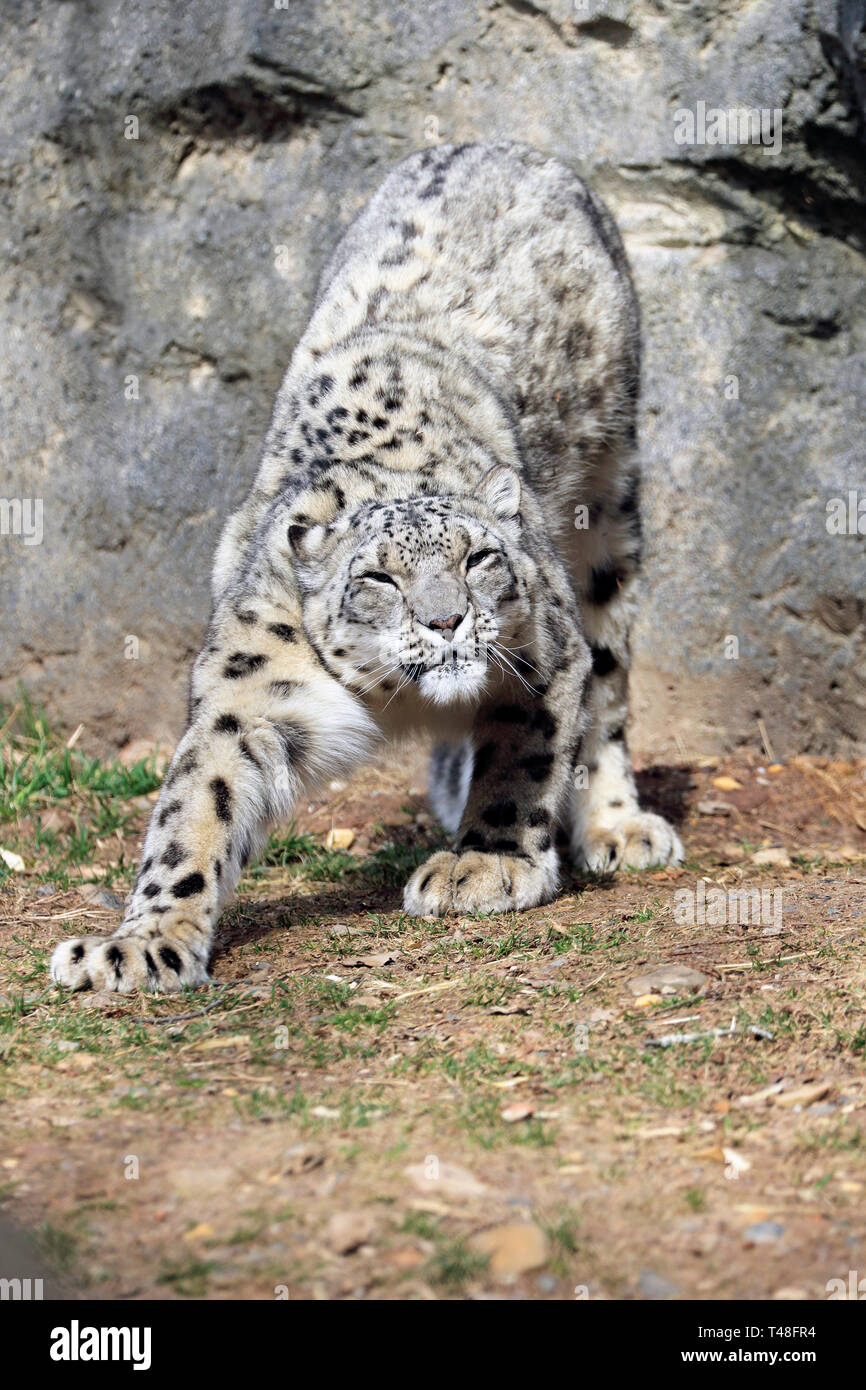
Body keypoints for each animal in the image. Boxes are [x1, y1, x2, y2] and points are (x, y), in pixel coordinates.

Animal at [50, 141, 682, 995]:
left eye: (479, 558)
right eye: (377, 579)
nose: (447, 620)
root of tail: (498, 144)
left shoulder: (544, 649)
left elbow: (525, 752)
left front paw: (483, 865)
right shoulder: (250, 691)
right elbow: (196, 810)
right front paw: (138, 945)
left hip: (609, 506)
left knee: (608, 691)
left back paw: (618, 825)